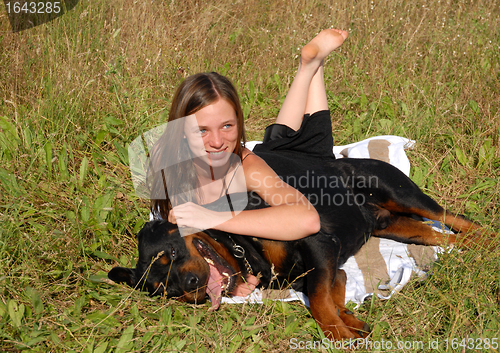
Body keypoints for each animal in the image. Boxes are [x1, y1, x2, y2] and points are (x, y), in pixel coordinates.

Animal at [108, 157, 488, 338]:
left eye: (170, 253)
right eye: (166, 291)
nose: (191, 286)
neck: (241, 245)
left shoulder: (318, 242)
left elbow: (319, 304)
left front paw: (340, 335)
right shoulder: (324, 269)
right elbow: (329, 295)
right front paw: (351, 323)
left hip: (397, 192)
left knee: (453, 217)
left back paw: (487, 239)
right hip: (398, 229)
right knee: (442, 235)